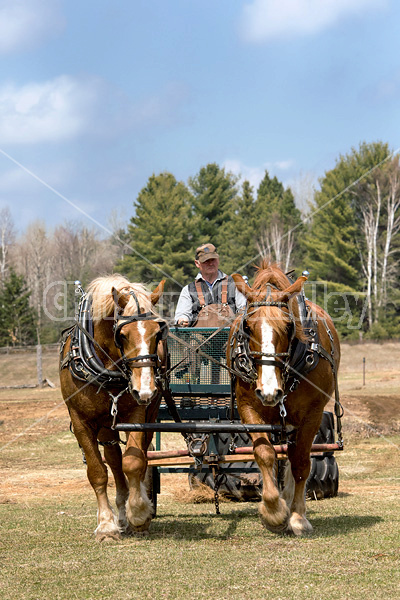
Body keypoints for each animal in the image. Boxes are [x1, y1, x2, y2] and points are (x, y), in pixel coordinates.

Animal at [59, 274, 166, 540]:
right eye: (123, 334)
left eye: (157, 333)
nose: (145, 389)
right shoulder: (80, 421)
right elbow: (97, 471)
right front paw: (107, 525)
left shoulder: (137, 413)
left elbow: (134, 462)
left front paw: (138, 512)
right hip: (106, 425)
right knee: (113, 459)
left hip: (146, 415)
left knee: (137, 458)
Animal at [228, 262, 340, 536]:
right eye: (248, 327)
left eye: (289, 327)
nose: (269, 391)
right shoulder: (248, 407)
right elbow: (265, 454)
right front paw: (273, 511)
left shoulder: (312, 414)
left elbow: (300, 463)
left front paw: (297, 517)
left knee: (294, 455)